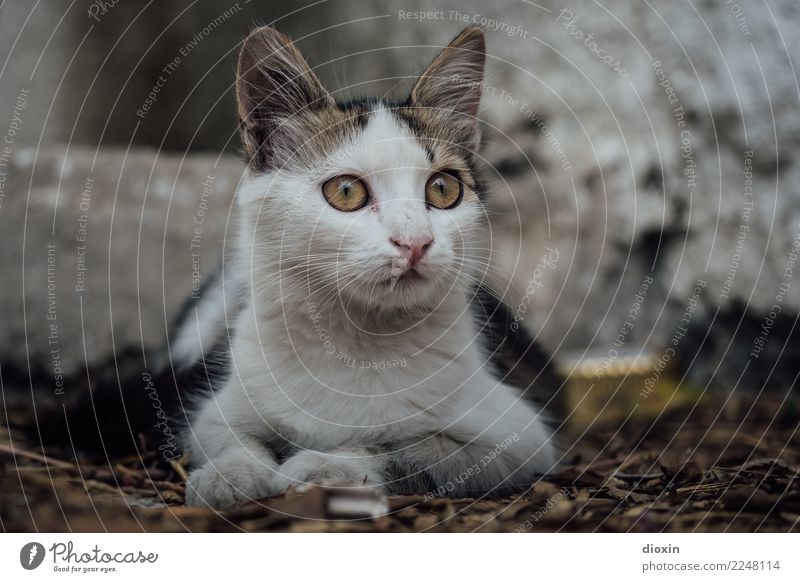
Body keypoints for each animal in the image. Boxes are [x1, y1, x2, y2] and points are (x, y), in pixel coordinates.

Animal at [169, 26, 560, 512]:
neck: (358, 338)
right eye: (346, 192)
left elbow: (403, 445)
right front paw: (229, 474)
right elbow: (229, 436)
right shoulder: (215, 409)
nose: (415, 241)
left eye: (443, 188)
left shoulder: (518, 438)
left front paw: (324, 466)